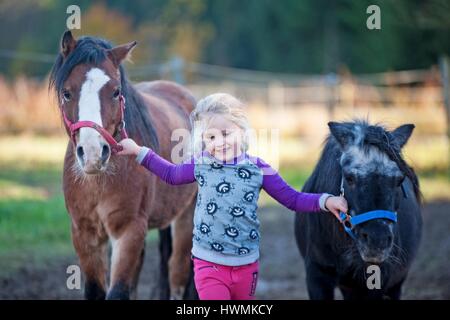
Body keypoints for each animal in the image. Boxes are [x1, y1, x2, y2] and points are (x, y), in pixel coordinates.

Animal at [49, 31, 197, 298]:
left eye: (116, 92)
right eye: (66, 93)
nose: (93, 154)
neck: (99, 182)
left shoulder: (129, 231)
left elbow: (118, 291)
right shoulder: (85, 233)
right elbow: (97, 291)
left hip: (186, 217)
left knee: (178, 274)